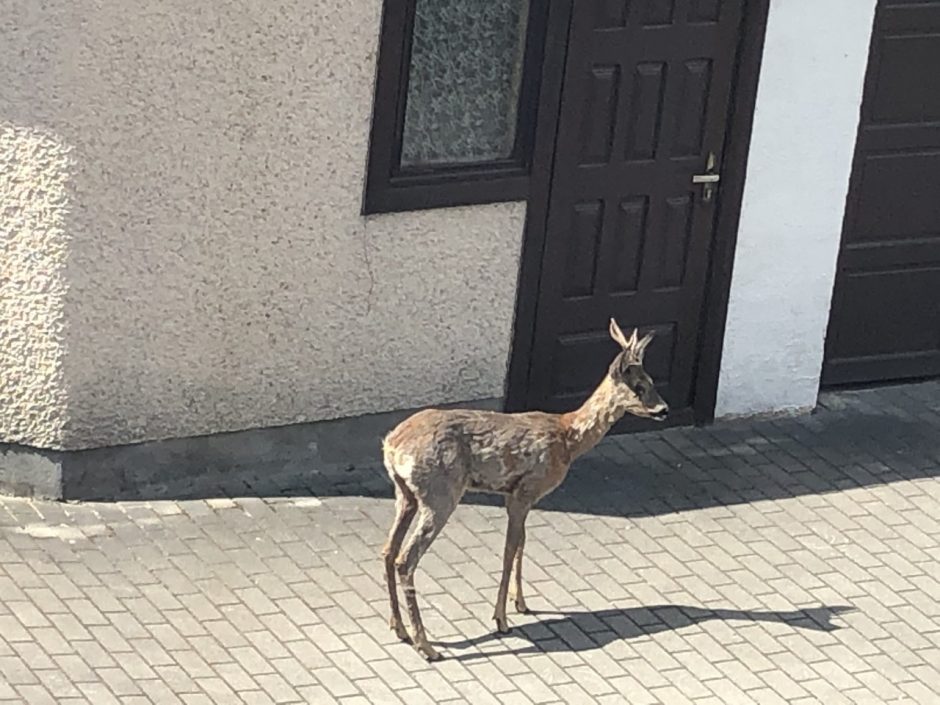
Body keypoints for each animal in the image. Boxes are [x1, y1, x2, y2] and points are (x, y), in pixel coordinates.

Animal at [378, 320, 664, 660]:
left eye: (651, 380)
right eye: (639, 386)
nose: (663, 408)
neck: (568, 437)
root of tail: (392, 445)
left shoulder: (515, 494)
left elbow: (522, 544)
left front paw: (521, 603)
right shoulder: (525, 491)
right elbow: (509, 549)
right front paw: (501, 619)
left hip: (406, 494)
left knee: (388, 550)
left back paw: (399, 628)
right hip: (440, 493)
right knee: (405, 559)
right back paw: (426, 646)